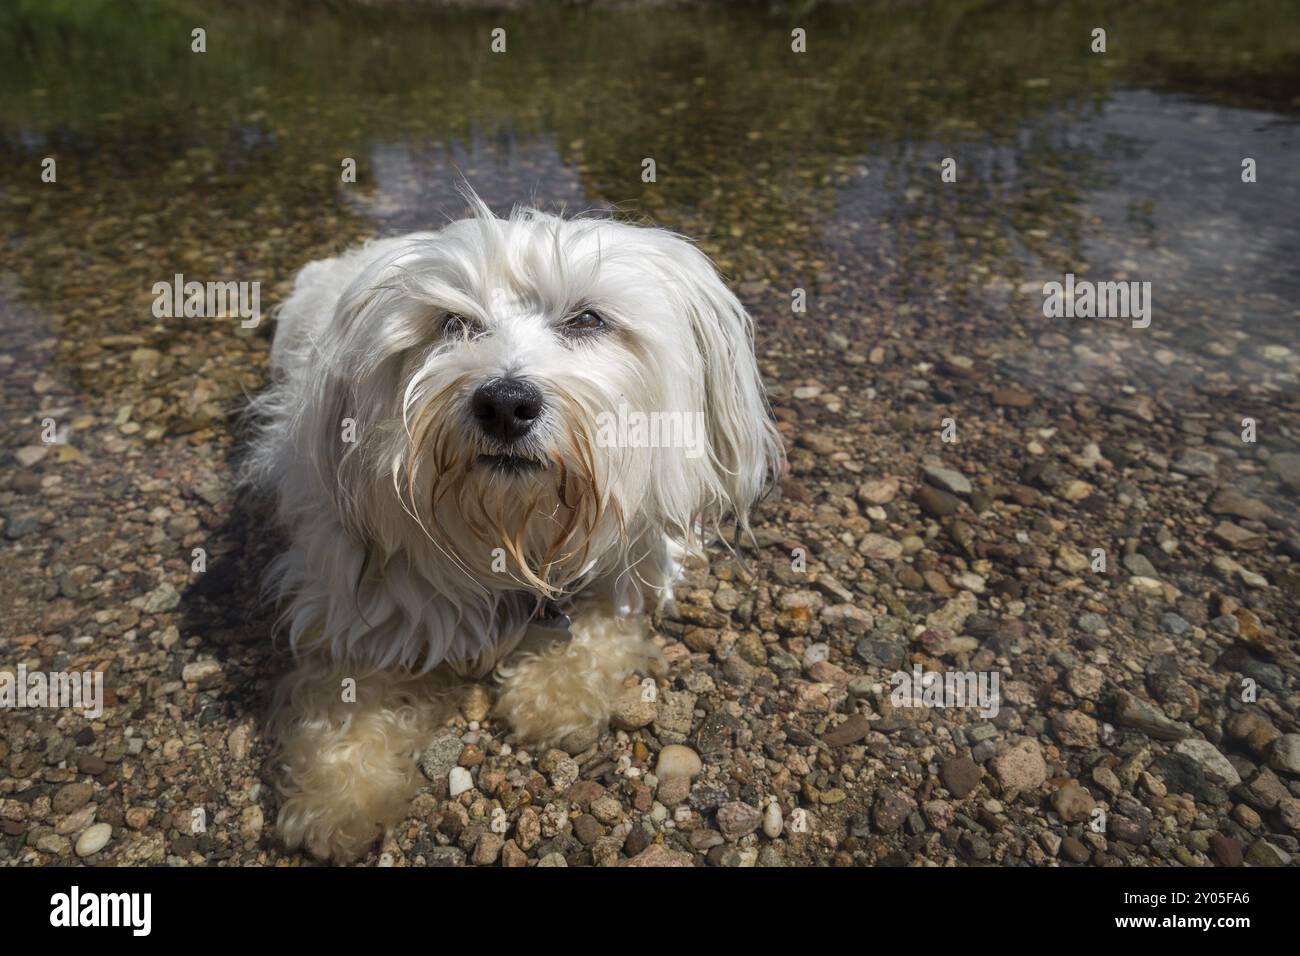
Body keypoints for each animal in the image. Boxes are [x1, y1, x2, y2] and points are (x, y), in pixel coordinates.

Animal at [244, 192, 780, 858]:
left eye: (587, 319)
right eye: (451, 323)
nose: (503, 402)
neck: (512, 531)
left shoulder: (640, 551)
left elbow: (604, 620)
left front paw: (555, 694)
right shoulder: (350, 594)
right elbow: (347, 693)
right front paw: (339, 799)